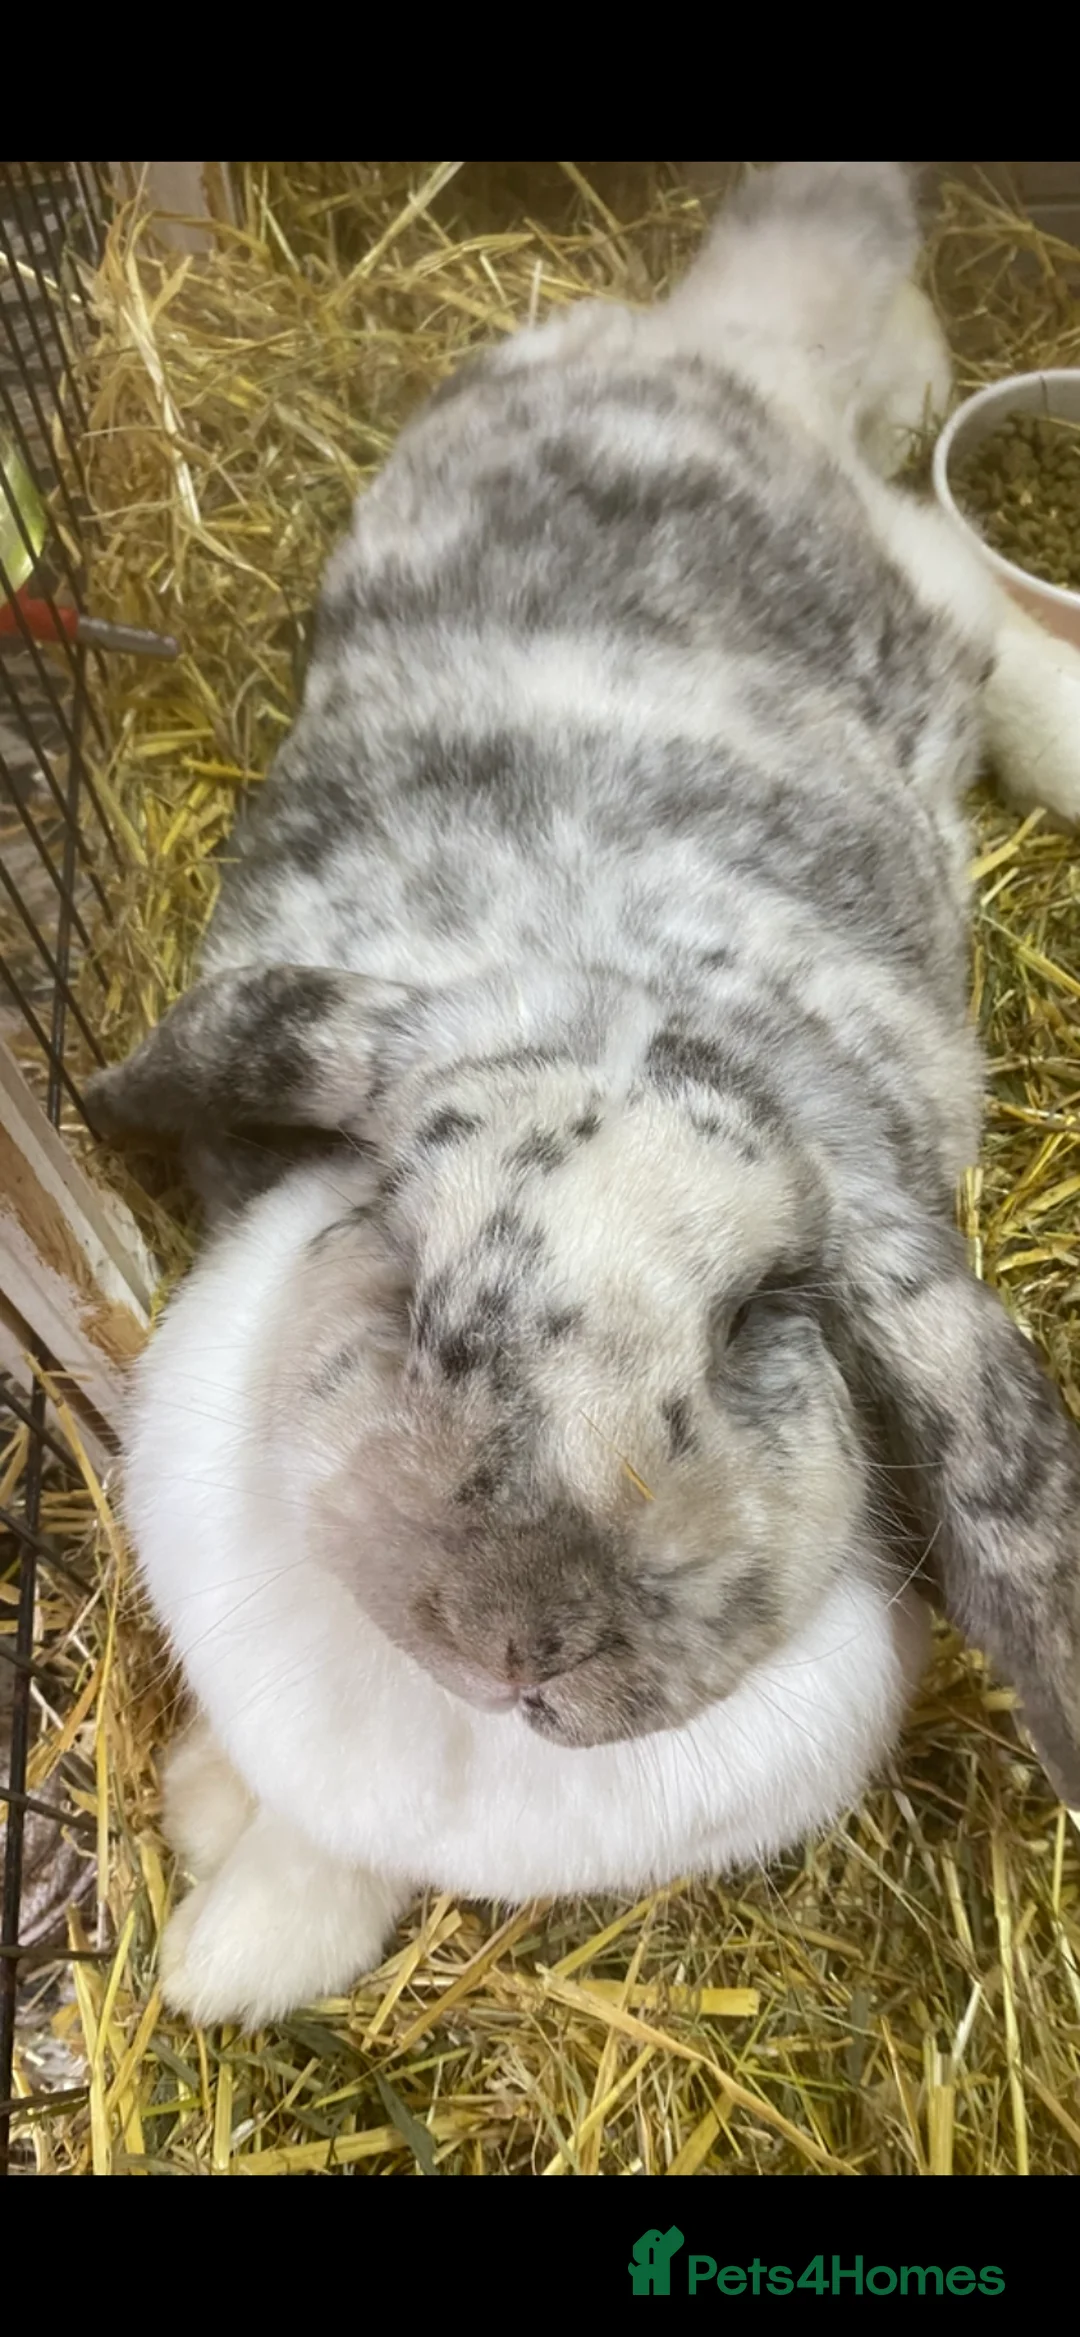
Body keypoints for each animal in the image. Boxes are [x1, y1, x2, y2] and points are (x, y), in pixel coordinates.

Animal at [87, 162, 1080, 2029]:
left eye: (768, 1318)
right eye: (404, 1280)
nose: (515, 1640)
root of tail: (719, 350)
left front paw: (226, 1950)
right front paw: (210, 1859)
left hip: (915, 582)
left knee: (989, 620)